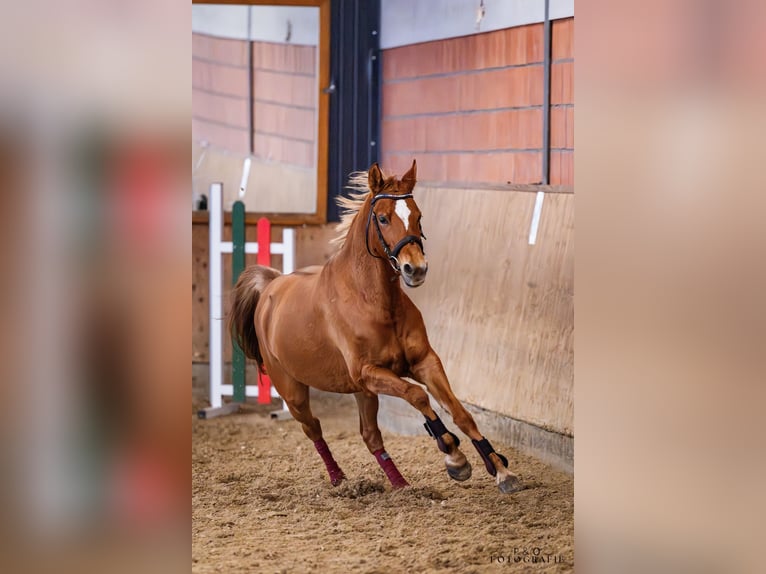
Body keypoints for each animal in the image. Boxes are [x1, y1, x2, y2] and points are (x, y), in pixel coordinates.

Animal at [231, 162, 524, 496]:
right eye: (382, 218)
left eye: (418, 216)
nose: (416, 269)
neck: (373, 301)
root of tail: (272, 284)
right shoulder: (370, 372)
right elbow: (417, 396)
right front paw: (455, 456)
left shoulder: (423, 362)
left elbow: (460, 412)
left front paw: (500, 469)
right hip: (294, 393)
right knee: (313, 428)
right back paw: (338, 477)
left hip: (363, 393)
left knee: (370, 435)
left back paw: (400, 484)